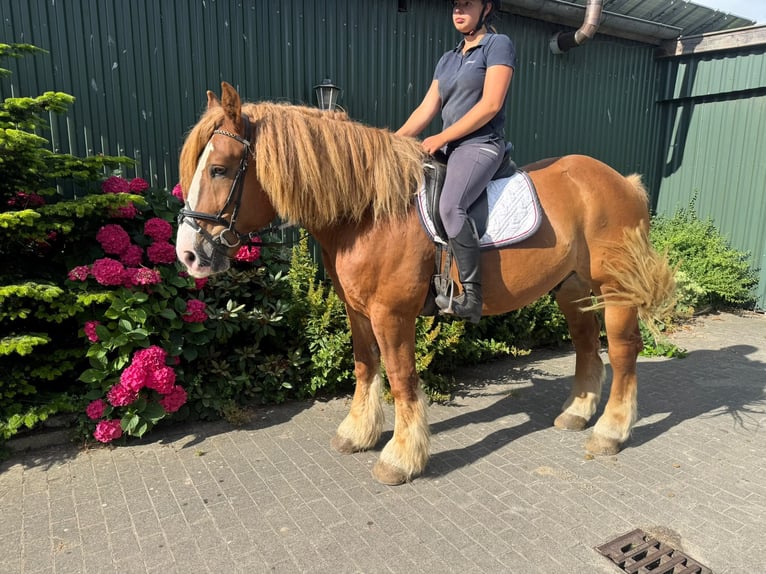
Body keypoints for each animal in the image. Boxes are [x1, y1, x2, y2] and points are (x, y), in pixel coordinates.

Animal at [175, 82, 675, 486]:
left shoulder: (392, 314)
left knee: (624, 350)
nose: (188, 254)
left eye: (219, 169)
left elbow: (400, 379)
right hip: (573, 289)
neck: (369, 212)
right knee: (588, 345)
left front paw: (401, 456)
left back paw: (610, 431)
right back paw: (577, 413)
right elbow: (364, 367)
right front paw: (358, 432)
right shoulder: (357, 311)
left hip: (615, 289)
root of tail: (623, 182)